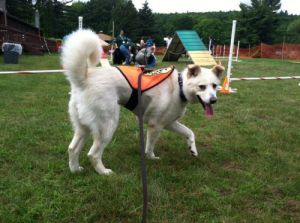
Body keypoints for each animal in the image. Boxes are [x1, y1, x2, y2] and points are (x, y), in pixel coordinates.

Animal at [62, 29, 224, 175]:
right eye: (202, 87)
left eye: (214, 86)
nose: (213, 100)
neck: (179, 86)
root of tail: (83, 79)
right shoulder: (155, 125)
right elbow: (150, 146)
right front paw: (151, 158)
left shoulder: (169, 123)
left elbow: (190, 132)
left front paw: (192, 149)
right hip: (107, 126)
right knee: (93, 154)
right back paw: (104, 172)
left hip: (83, 127)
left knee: (72, 148)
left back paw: (75, 170)